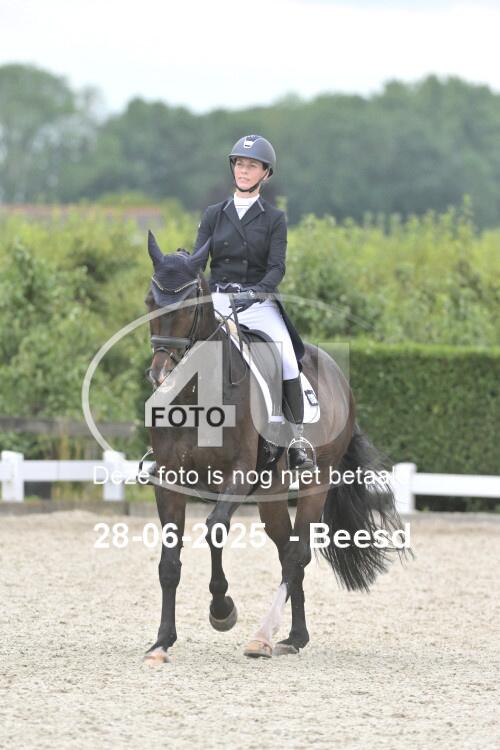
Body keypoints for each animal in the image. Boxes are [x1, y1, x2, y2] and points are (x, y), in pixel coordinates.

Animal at [142, 230, 404, 664]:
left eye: (188, 304)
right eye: (150, 301)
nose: (161, 374)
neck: (198, 391)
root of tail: (338, 375)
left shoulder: (237, 473)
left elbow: (214, 528)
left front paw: (222, 611)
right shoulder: (168, 480)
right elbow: (168, 562)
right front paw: (161, 641)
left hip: (316, 481)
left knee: (297, 555)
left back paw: (265, 637)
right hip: (270, 496)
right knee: (285, 552)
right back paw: (293, 637)